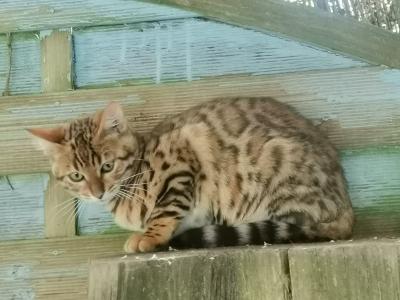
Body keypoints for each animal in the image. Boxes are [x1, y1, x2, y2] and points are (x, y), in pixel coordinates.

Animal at [28, 97, 354, 252]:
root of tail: (347, 206)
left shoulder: (184, 150)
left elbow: (164, 209)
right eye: (77, 176)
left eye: (107, 166)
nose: (98, 193)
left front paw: (150, 236)